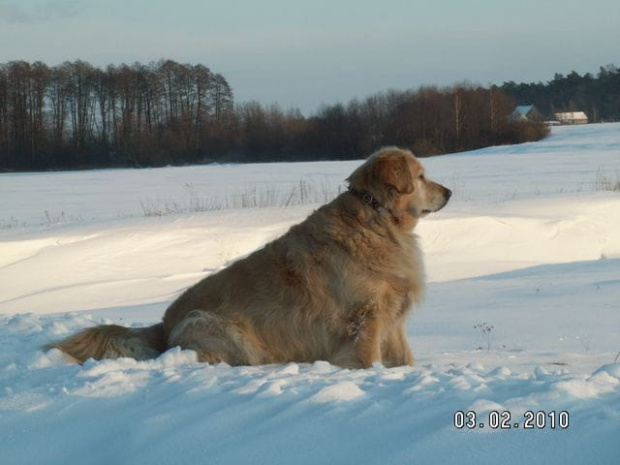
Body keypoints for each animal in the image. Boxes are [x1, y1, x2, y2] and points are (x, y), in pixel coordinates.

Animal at [49, 147, 450, 368]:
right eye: (420, 176)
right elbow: (366, 359)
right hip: (220, 330)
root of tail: (163, 325)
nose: (448, 191)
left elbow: (404, 357)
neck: (378, 220)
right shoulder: (362, 318)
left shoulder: (392, 317)